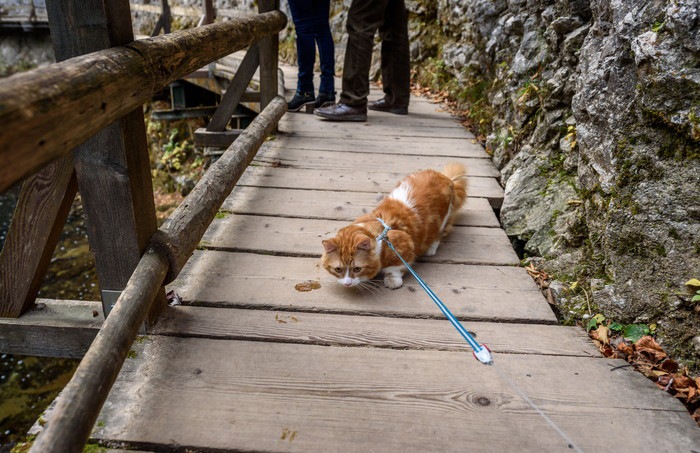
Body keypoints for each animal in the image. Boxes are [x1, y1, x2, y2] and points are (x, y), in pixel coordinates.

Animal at [324, 164, 470, 288]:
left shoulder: (405, 252)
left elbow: (394, 270)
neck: (381, 237)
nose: (347, 283)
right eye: (338, 269)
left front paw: (391, 281)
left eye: (357, 269)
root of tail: (446, 177)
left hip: (443, 220)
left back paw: (431, 249)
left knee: (438, 235)